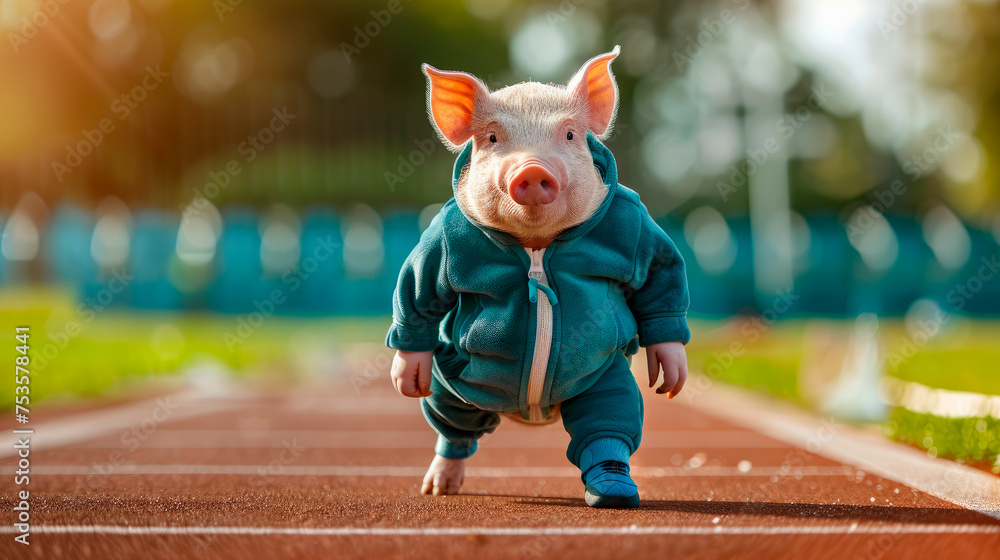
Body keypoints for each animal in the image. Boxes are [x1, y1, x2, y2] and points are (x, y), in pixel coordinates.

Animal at [386, 47, 692, 508]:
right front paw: (407, 378)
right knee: (453, 425)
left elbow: (660, 278)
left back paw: (613, 491)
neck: (536, 249)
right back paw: (439, 487)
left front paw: (670, 380)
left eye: (568, 135)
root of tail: (530, 414)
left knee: (609, 414)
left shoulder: (636, 227)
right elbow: (419, 288)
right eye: (493, 139)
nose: (531, 170)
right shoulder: (443, 239)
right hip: (454, 387)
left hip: (602, 376)